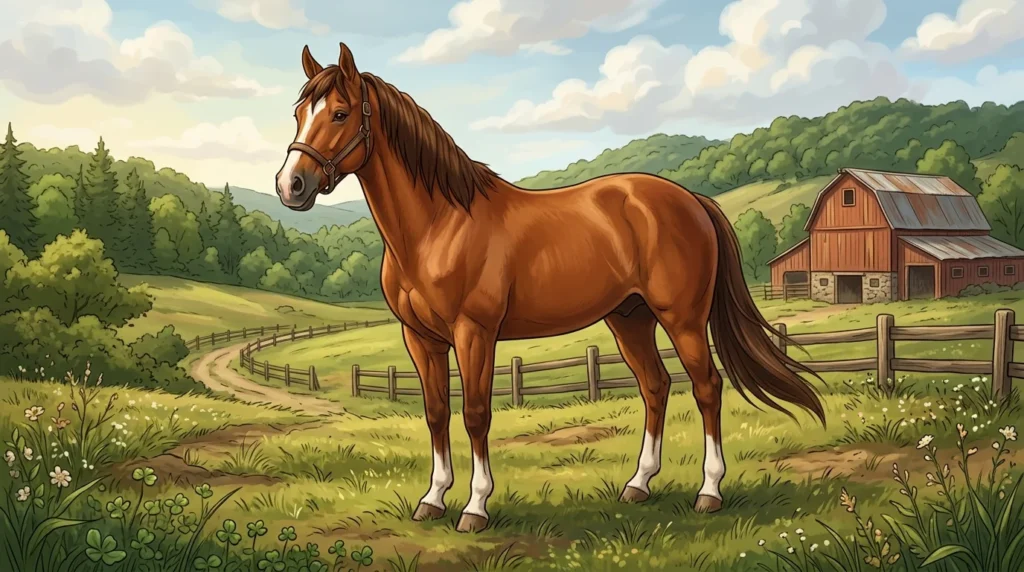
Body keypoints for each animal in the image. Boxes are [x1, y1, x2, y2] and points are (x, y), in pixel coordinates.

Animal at [275, 43, 826, 533]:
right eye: (298, 112)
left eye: (340, 113)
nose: (290, 185)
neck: (438, 224)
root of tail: (691, 199)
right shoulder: (421, 338)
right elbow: (435, 413)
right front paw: (432, 499)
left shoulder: (474, 333)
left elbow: (476, 414)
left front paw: (475, 507)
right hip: (630, 319)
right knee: (656, 386)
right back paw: (638, 484)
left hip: (682, 319)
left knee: (707, 387)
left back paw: (709, 492)